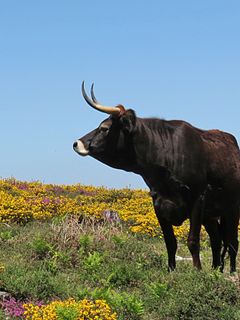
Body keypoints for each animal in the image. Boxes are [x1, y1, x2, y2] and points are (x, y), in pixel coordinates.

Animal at [73, 82, 240, 272]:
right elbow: (170, 243)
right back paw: (215, 269)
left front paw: (197, 271)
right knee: (217, 240)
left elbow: (192, 240)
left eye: (104, 128)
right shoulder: (158, 203)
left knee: (232, 242)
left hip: (232, 208)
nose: (77, 143)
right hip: (210, 215)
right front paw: (171, 270)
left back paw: (230, 271)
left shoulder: (198, 198)